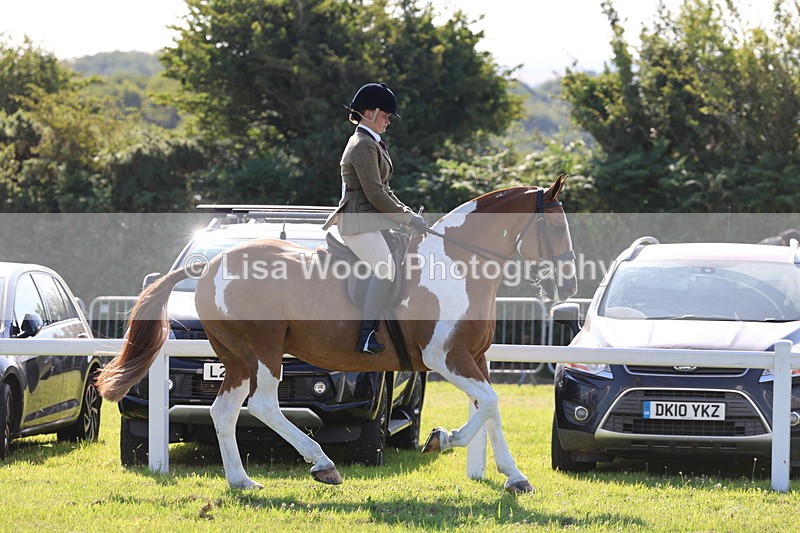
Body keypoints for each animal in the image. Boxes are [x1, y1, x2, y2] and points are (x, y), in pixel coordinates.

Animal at [96, 175, 577, 494]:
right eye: (556, 227)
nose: (569, 285)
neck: (458, 265)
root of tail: (210, 265)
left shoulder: (473, 358)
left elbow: (492, 410)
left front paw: (514, 476)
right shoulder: (446, 358)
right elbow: (490, 404)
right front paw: (444, 439)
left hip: (236, 359)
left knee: (224, 411)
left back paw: (242, 481)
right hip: (264, 351)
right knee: (264, 405)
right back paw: (322, 463)